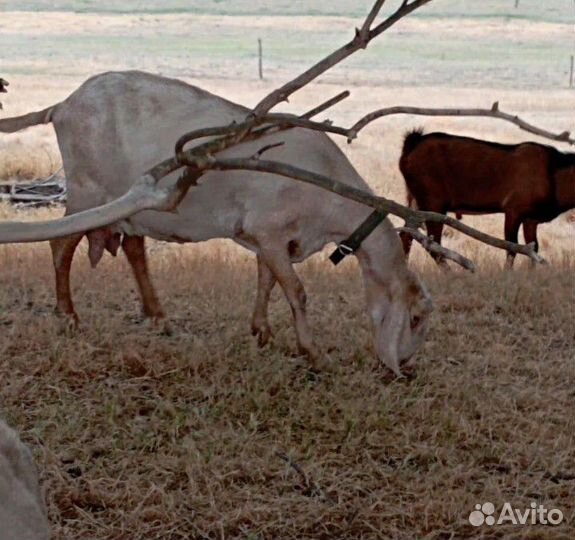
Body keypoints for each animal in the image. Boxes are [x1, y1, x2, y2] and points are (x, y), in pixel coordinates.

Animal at [398, 129, 575, 268]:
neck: (554, 175)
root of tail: (409, 149)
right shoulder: (513, 209)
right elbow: (512, 247)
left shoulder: (531, 219)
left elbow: (533, 249)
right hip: (433, 201)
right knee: (432, 244)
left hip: (415, 200)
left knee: (407, 235)